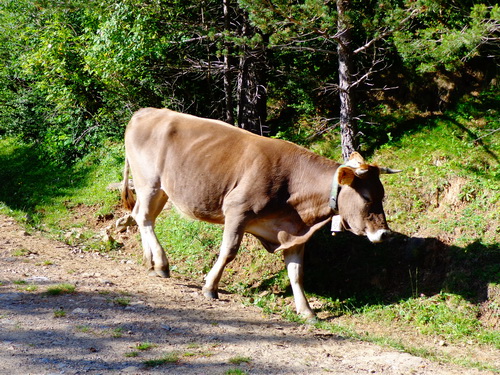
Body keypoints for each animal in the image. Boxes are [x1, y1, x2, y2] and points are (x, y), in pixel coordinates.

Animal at [121, 107, 398, 318]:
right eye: (367, 197)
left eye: (382, 195)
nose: (384, 234)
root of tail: (146, 111)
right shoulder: (237, 210)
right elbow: (228, 251)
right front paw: (210, 287)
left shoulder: (294, 231)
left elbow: (296, 273)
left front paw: (306, 311)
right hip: (149, 182)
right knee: (144, 217)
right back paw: (162, 264)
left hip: (162, 189)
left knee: (142, 216)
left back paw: (150, 261)